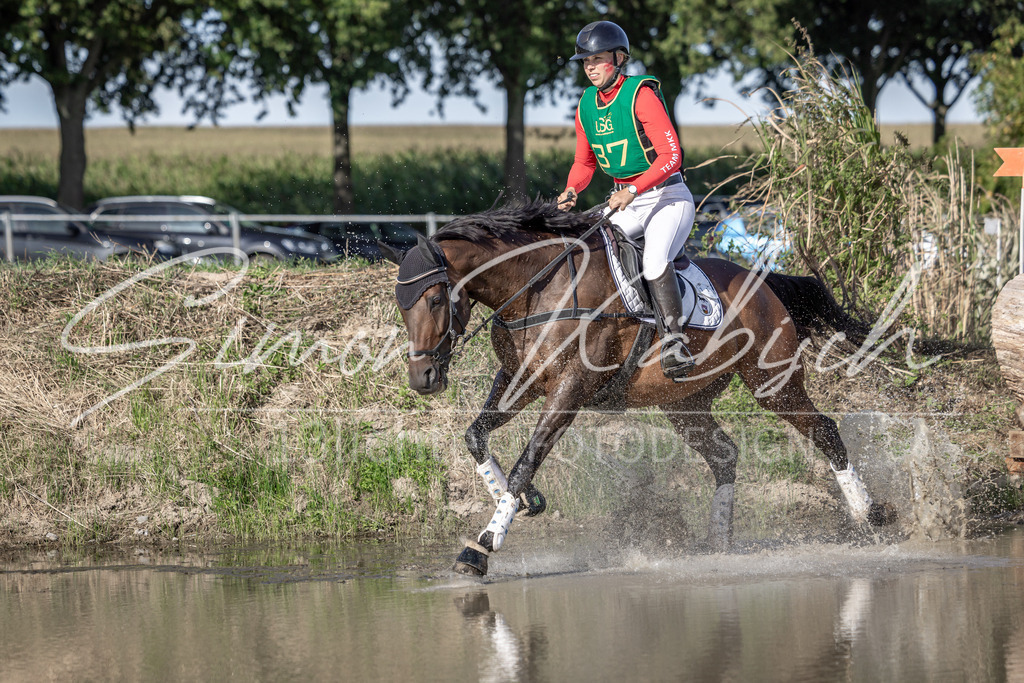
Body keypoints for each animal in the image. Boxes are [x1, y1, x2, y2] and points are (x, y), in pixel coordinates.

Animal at [379, 198, 894, 576]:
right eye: (402, 304)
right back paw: (718, 544)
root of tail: (762, 282)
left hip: (773, 383)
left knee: (823, 428)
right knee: (724, 455)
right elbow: (476, 435)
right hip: (685, 403)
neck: (536, 287)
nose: (422, 378)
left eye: (432, 299)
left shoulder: (569, 389)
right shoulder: (518, 381)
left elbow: (529, 456)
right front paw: (520, 502)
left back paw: (870, 517)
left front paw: (484, 545)